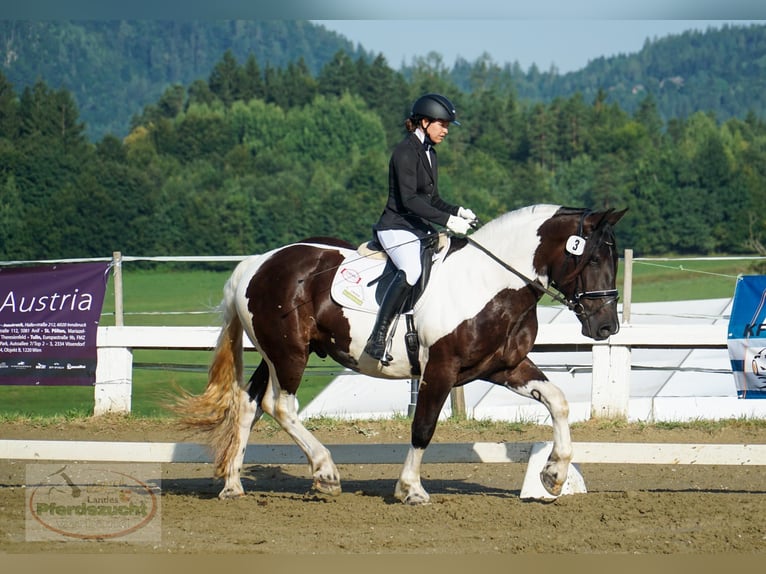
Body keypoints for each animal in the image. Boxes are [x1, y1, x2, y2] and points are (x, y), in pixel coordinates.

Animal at [178, 202, 632, 504]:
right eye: (593, 258)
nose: (606, 328)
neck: (489, 282)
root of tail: (256, 263)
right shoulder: (441, 369)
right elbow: (423, 427)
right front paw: (411, 488)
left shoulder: (504, 366)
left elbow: (557, 401)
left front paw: (554, 474)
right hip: (290, 354)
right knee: (281, 406)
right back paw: (326, 473)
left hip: (275, 353)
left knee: (249, 404)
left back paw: (233, 484)